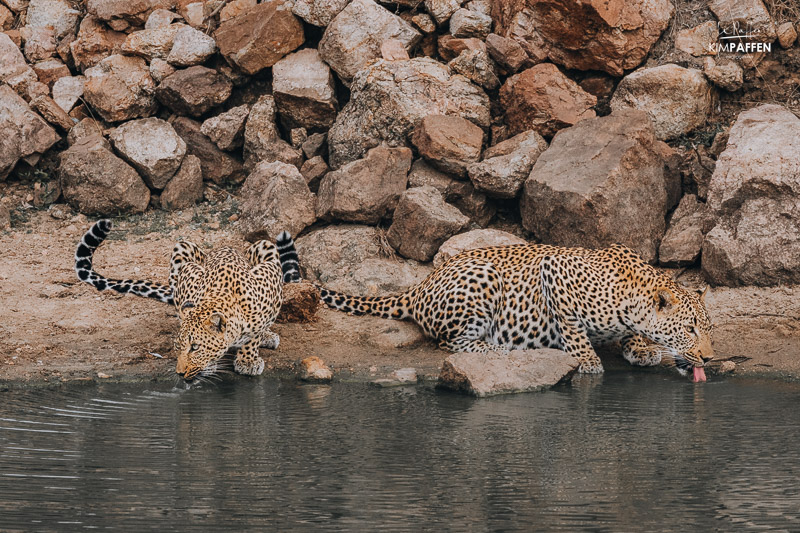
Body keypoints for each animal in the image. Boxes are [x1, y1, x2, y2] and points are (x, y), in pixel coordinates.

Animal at [75, 218, 302, 380]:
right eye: (178, 347)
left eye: (195, 347)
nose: (179, 373)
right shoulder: (188, 274)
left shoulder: (270, 281)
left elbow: (254, 334)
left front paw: (248, 360)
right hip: (182, 246)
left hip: (265, 245)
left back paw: (267, 336)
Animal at [318, 243, 712, 376]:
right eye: (689, 329)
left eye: (709, 330)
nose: (709, 358)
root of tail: (420, 284)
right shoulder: (554, 270)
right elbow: (573, 330)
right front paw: (588, 361)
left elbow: (630, 335)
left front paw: (641, 349)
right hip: (483, 276)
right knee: (453, 343)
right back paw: (501, 348)